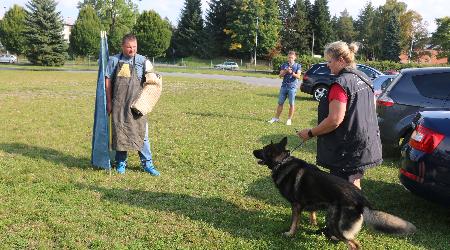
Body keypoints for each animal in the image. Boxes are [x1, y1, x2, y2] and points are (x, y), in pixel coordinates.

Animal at [251, 138, 416, 249]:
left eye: (263, 150)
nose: (253, 151)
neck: (282, 162)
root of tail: (361, 199)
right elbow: (312, 212)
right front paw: (313, 222)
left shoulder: (296, 205)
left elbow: (294, 222)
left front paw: (290, 234)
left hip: (336, 225)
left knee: (354, 244)